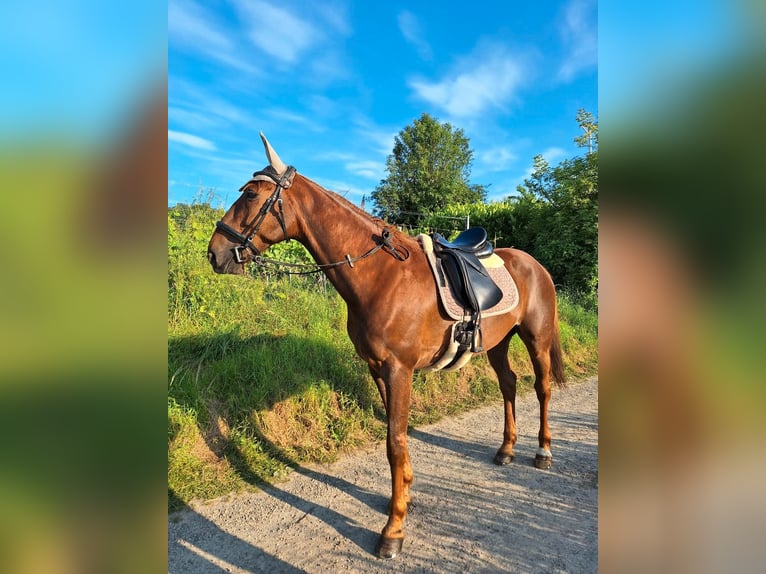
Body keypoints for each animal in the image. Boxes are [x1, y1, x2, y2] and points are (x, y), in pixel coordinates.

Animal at [207, 134, 568, 560]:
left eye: (249, 194)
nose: (215, 253)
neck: (381, 274)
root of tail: (535, 264)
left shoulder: (399, 370)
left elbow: (395, 443)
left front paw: (393, 530)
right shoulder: (377, 368)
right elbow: (395, 440)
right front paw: (402, 500)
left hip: (536, 339)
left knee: (541, 388)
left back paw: (543, 453)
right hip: (497, 343)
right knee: (509, 385)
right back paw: (506, 450)